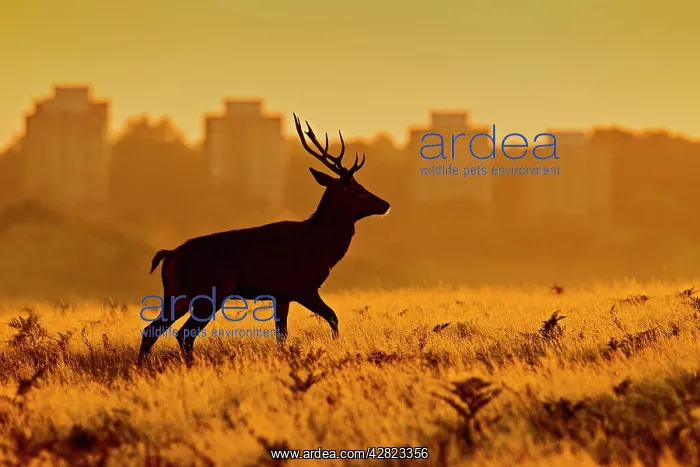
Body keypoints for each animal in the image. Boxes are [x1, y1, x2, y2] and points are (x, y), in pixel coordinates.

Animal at [137, 113, 391, 365]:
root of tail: (170, 255)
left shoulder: (281, 295)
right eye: (359, 190)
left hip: (176, 294)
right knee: (183, 334)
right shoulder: (303, 287)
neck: (323, 246)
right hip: (208, 292)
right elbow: (333, 318)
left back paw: (143, 366)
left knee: (151, 330)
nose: (385, 204)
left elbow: (282, 335)